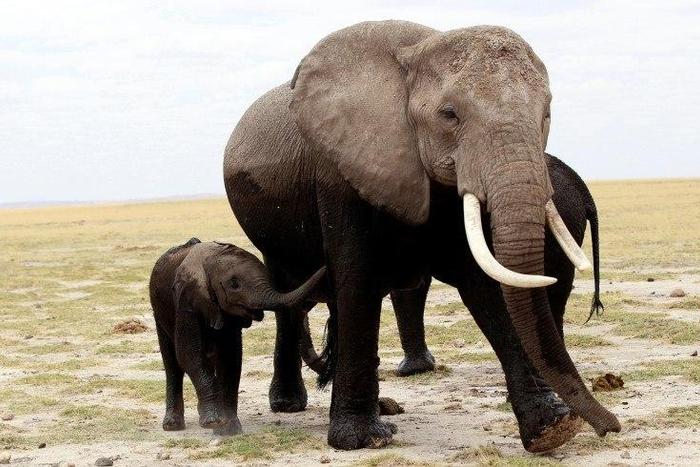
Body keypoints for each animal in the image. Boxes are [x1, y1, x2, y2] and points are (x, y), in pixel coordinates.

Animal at [149, 238, 326, 435]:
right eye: (234, 284)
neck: (211, 258)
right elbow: (190, 356)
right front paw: (213, 422)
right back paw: (172, 425)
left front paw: (229, 430)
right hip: (159, 311)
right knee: (172, 363)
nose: (325, 266)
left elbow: (230, 358)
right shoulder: (186, 304)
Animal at [223, 20, 620, 451]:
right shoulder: (341, 171)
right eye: (449, 115)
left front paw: (552, 430)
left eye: (546, 114)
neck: (421, 48)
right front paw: (360, 440)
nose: (611, 426)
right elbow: (358, 278)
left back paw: (380, 408)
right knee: (289, 292)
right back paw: (292, 405)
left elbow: (486, 283)